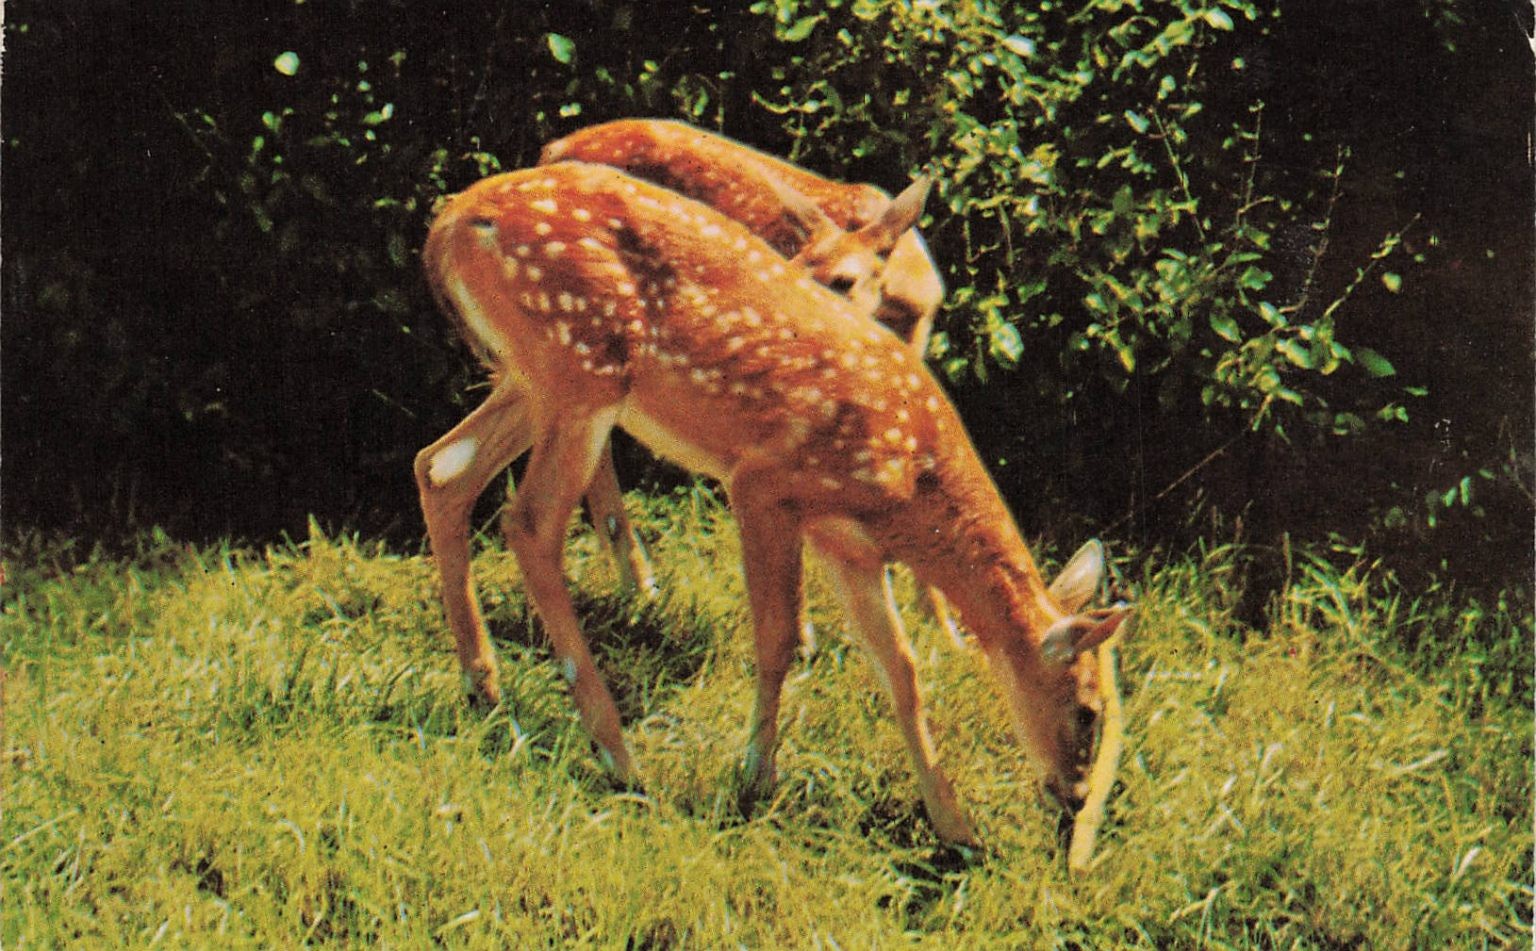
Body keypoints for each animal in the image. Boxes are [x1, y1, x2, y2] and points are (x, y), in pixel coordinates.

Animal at [538, 119, 961, 638]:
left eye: (844, 281)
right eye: (793, 267)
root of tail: (550, 150)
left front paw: (944, 630)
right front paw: (803, 631)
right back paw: (639, 584)